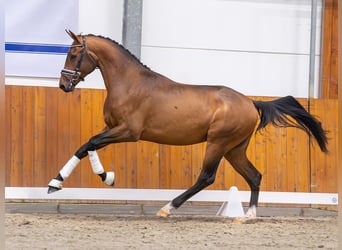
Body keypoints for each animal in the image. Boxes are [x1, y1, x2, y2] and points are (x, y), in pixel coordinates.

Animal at [46, 30, 328, 219]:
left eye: (73, 54)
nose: (63, 85)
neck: (130, 83)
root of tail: (251, 102)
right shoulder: (111, 128)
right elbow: (87, 146)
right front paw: (64, 182)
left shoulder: (128, 131)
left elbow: (90, 143)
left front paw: (96, 179)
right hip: (235, 149)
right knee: (254, 176)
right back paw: (249, 215)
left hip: (218, 143)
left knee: (206, 177)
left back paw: (167, 208)